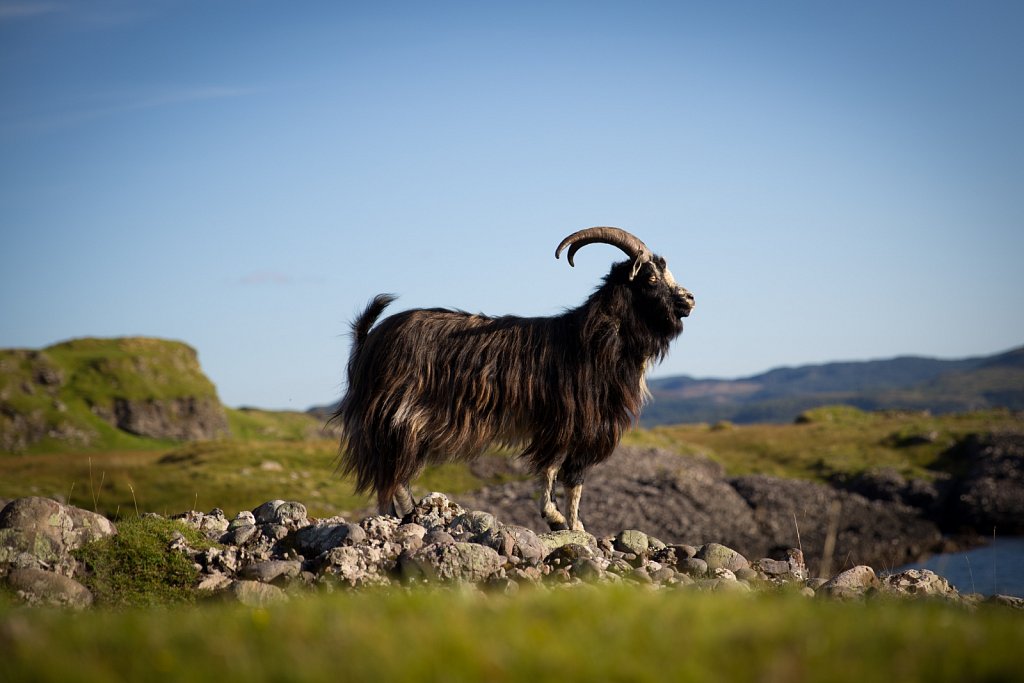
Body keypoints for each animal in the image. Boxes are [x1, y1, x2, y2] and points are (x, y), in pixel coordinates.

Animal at [335, 227, 696, 532]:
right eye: (650, 277)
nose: (689, 299)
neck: (593, 340)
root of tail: (368, 337)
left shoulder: (574, 426)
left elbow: (568, 478)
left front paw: (570, 525)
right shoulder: (571, 422)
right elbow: (559, 471)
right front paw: (561, 520)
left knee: (390, 477)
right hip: (400, 418)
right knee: (394, 475)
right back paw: (405, 515)